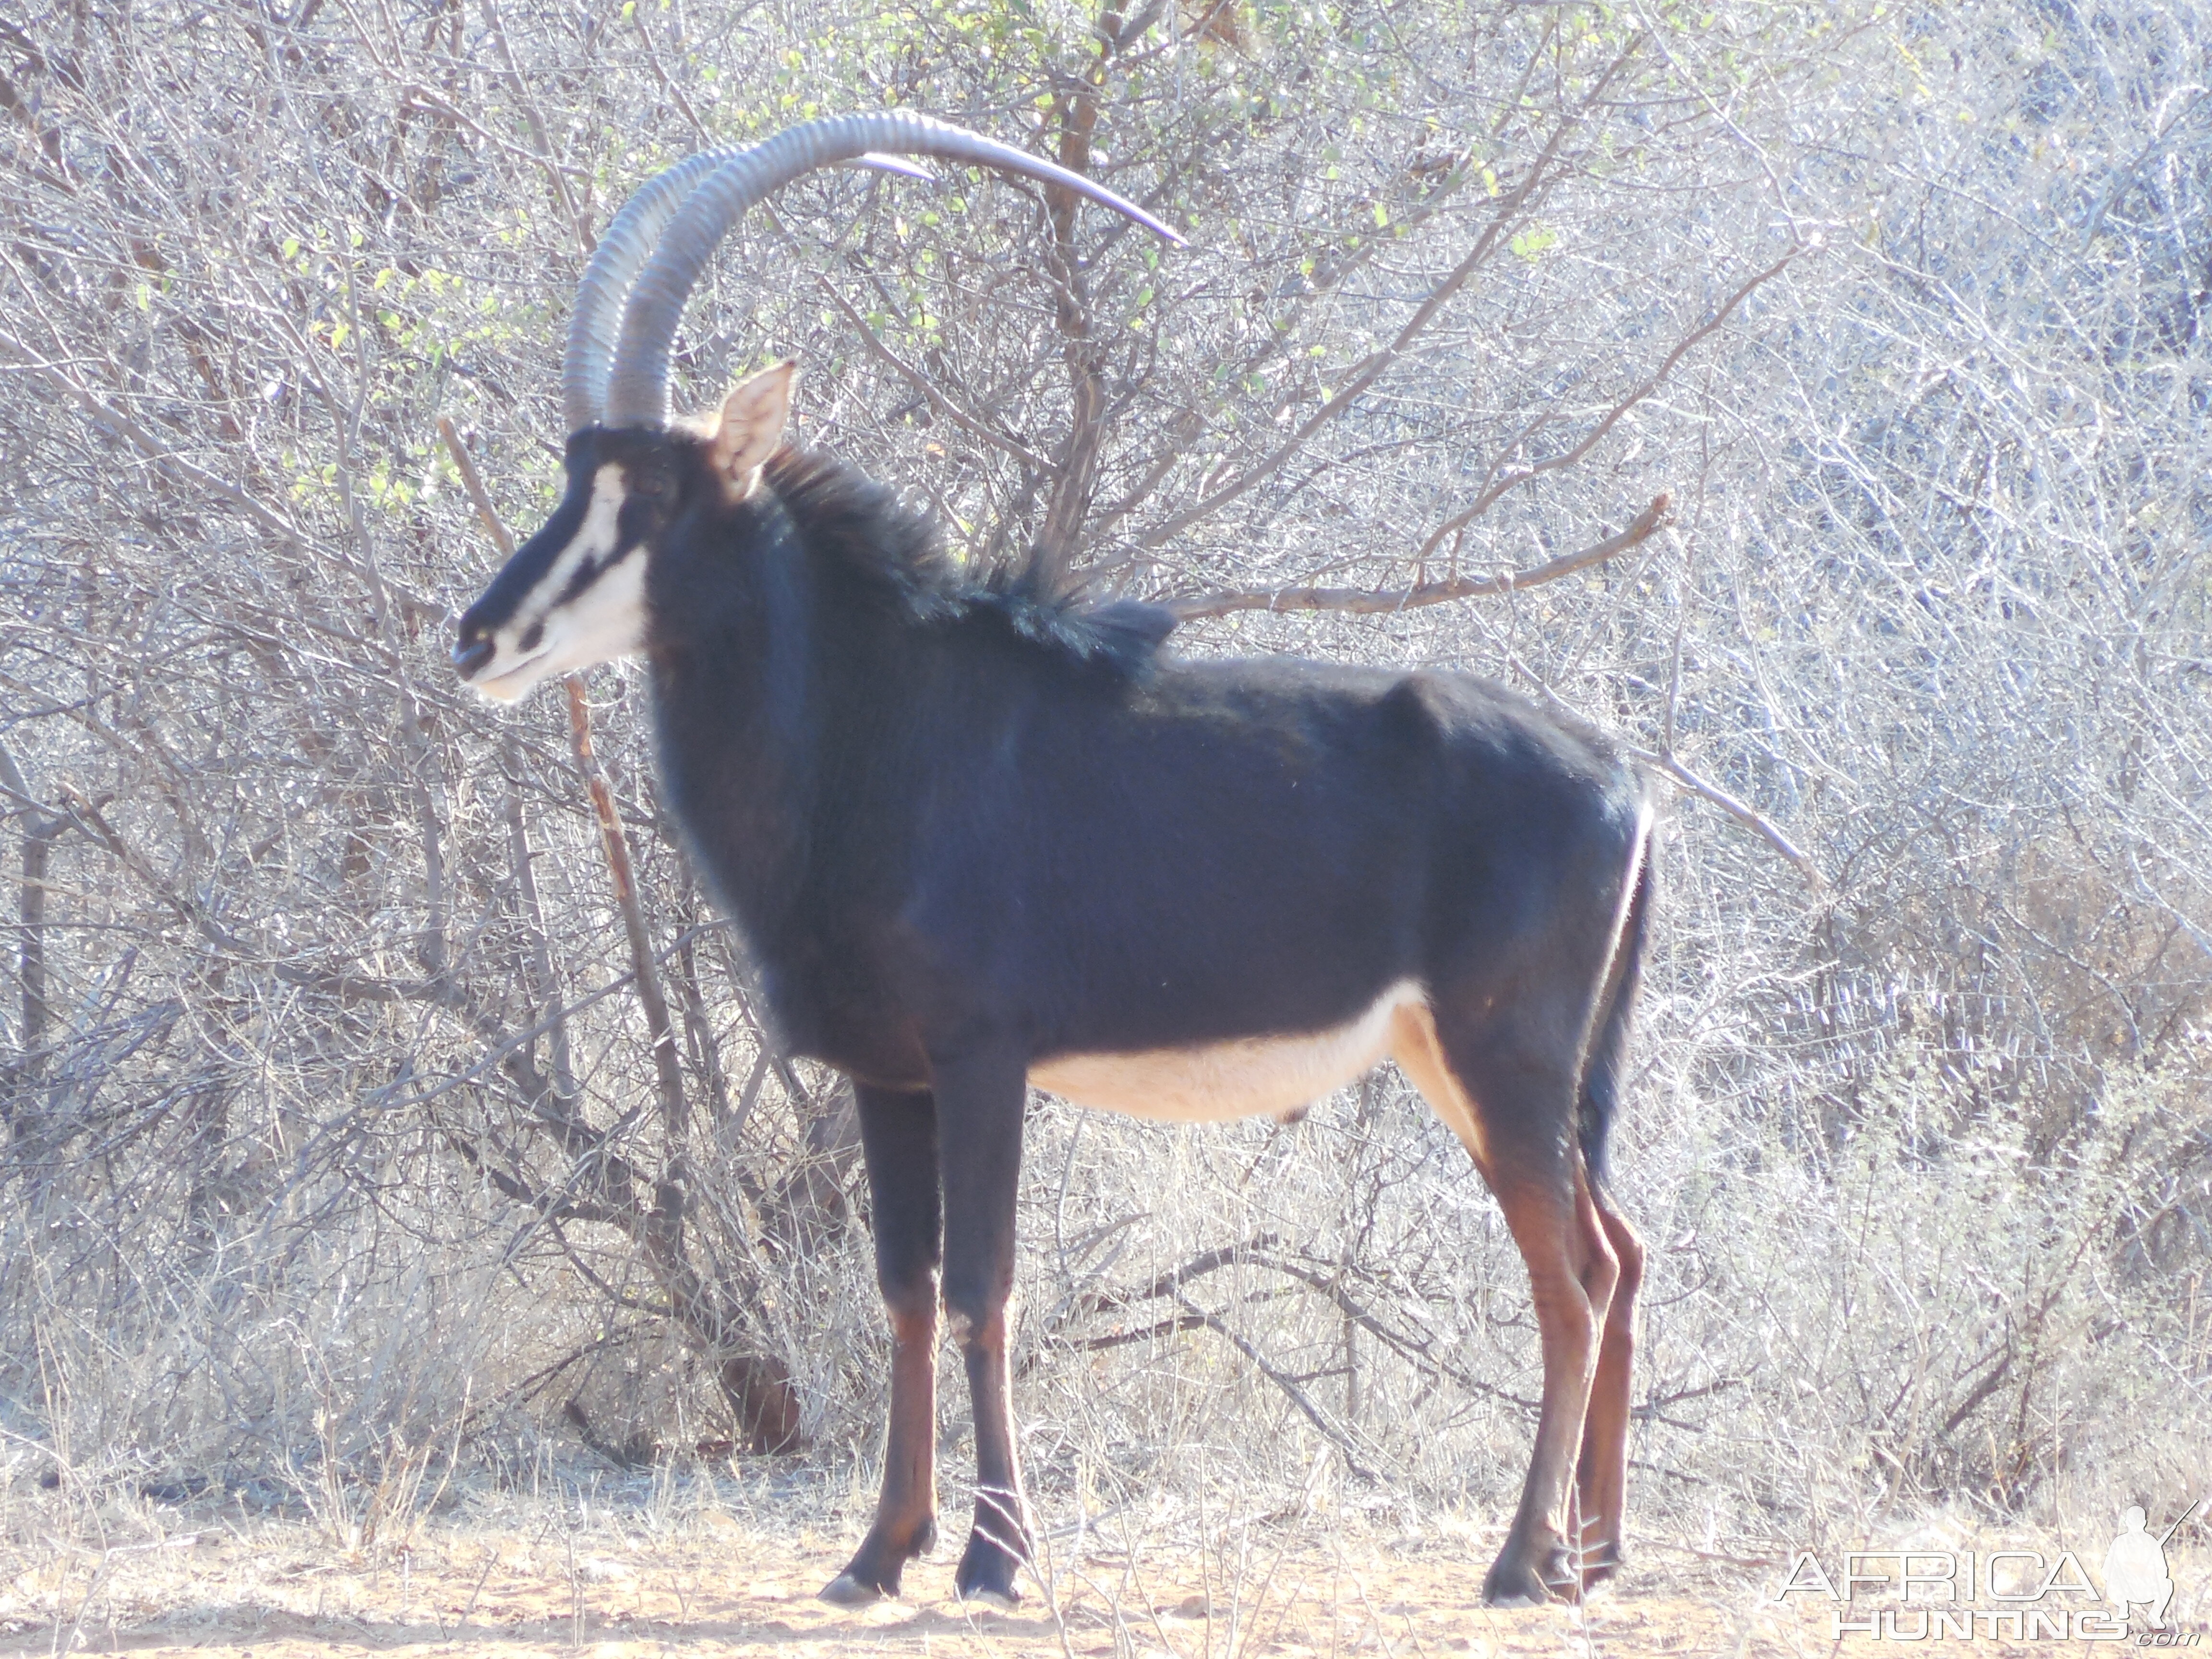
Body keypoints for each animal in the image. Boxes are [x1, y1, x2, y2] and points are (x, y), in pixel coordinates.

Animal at [457, 114, 1654, 1610]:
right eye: (576, 475)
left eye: (659, 495)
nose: (479, 636)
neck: (876, 719)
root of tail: (1622, 778)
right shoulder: (888, 1074)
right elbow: (905, 1290)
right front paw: (879, 1550)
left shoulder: (983, 1057)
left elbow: (986, 1288)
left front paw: (992, 1556)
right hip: (1487, 1069)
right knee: (1621, 1252)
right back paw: (1594, 1551)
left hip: (1505, 1063)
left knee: (1575, 1280)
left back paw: (1520, 1559)